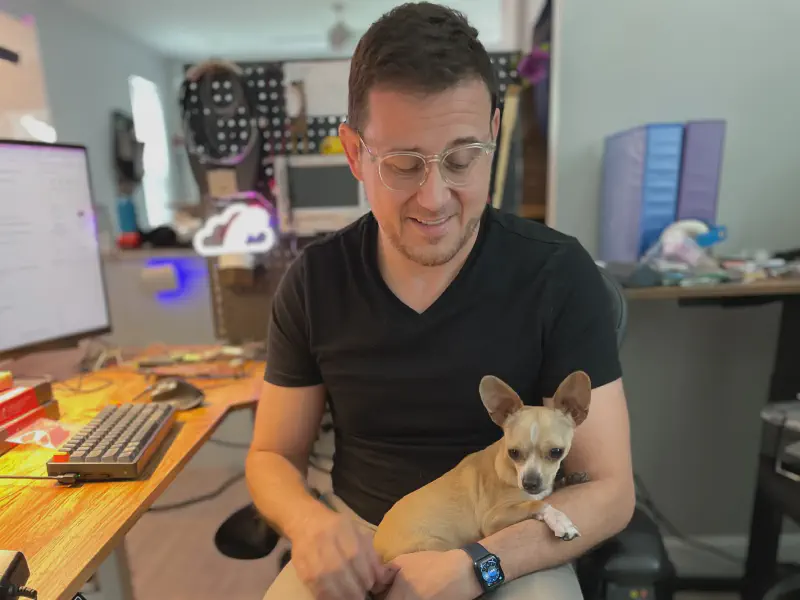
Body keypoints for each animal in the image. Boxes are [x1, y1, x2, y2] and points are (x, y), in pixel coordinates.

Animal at [372, 370, 592, 564]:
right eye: (513, 453)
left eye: (556, 452)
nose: (530, 483)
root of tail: (377, 547)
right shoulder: (493, 519)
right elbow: (536, 504)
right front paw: (560, 520)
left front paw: (570, 479)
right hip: (435, 544)